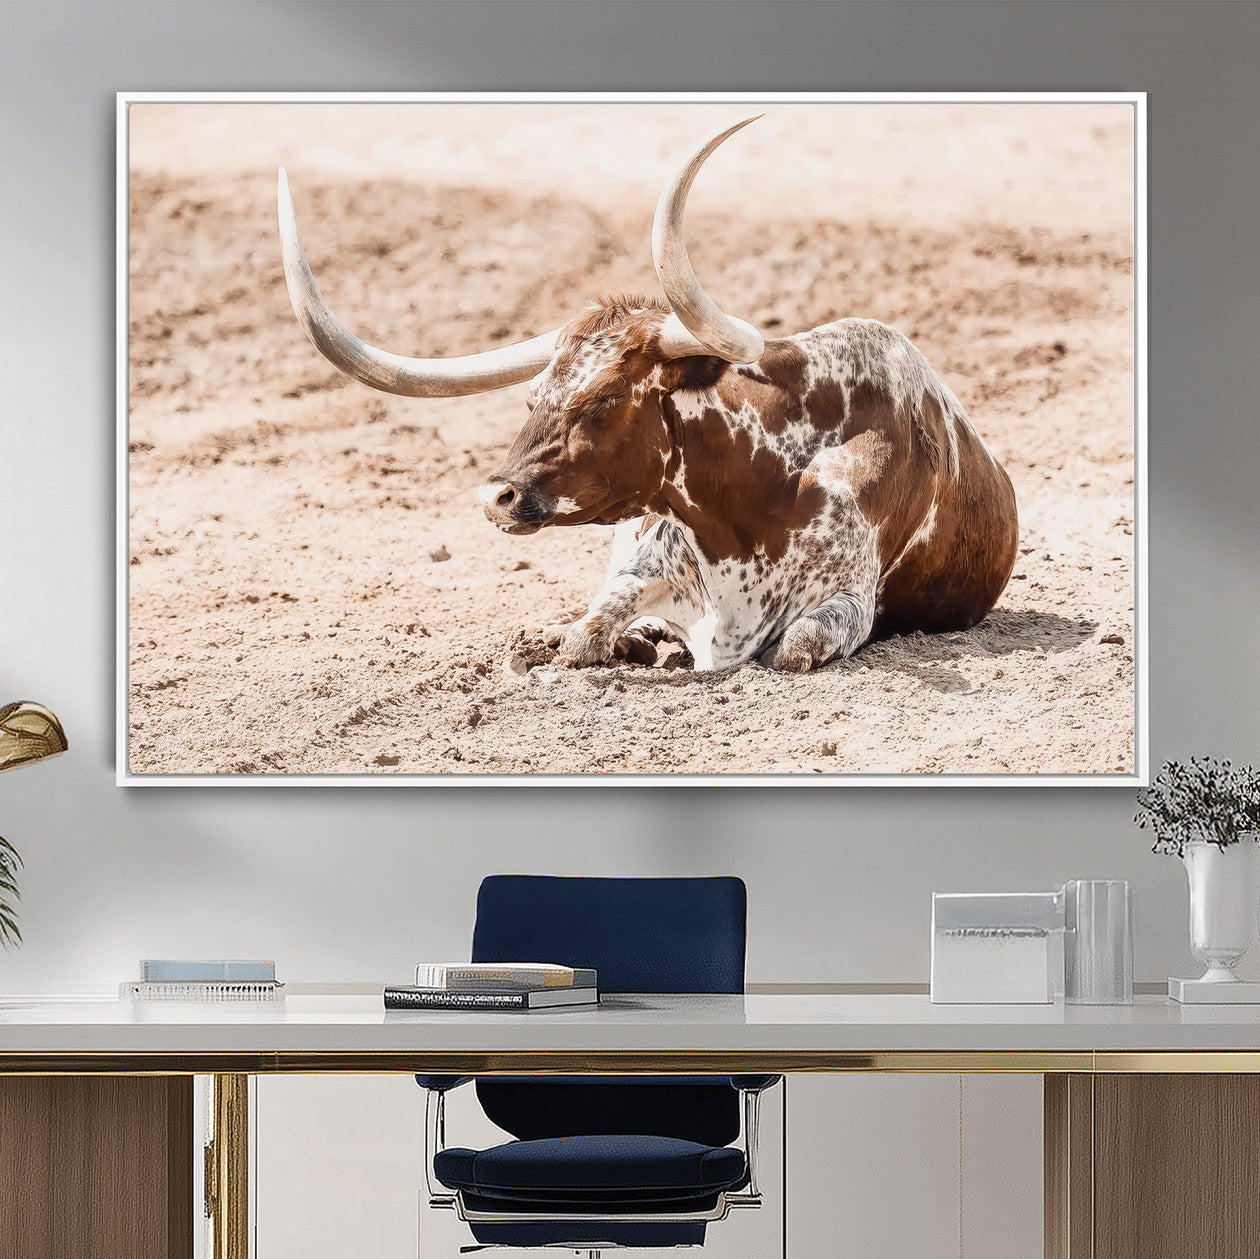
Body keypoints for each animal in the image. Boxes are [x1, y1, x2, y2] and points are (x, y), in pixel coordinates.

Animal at [278, 118, 1018, 673]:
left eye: (605, 398)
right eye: (533, 396)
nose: (497, 496)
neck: (755, 498)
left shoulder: (847, 602)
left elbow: (792, 648)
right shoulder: (639, 565)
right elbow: (585, 634)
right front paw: (606, 640)